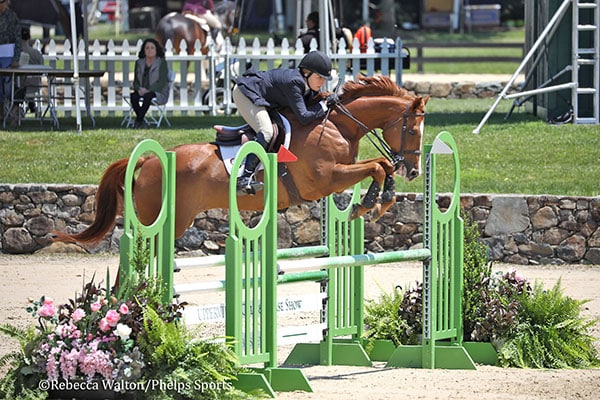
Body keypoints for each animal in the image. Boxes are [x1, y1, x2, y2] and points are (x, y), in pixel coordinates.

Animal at [51, 74, 426, 244]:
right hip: (164, 219)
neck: (336, 124)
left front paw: (378, 201)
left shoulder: (336, 176)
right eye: (412, 129)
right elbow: (378, 166)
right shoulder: (326, 179)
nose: (414, 170)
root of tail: (147, 161)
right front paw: (371, 204)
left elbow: (381, 166)